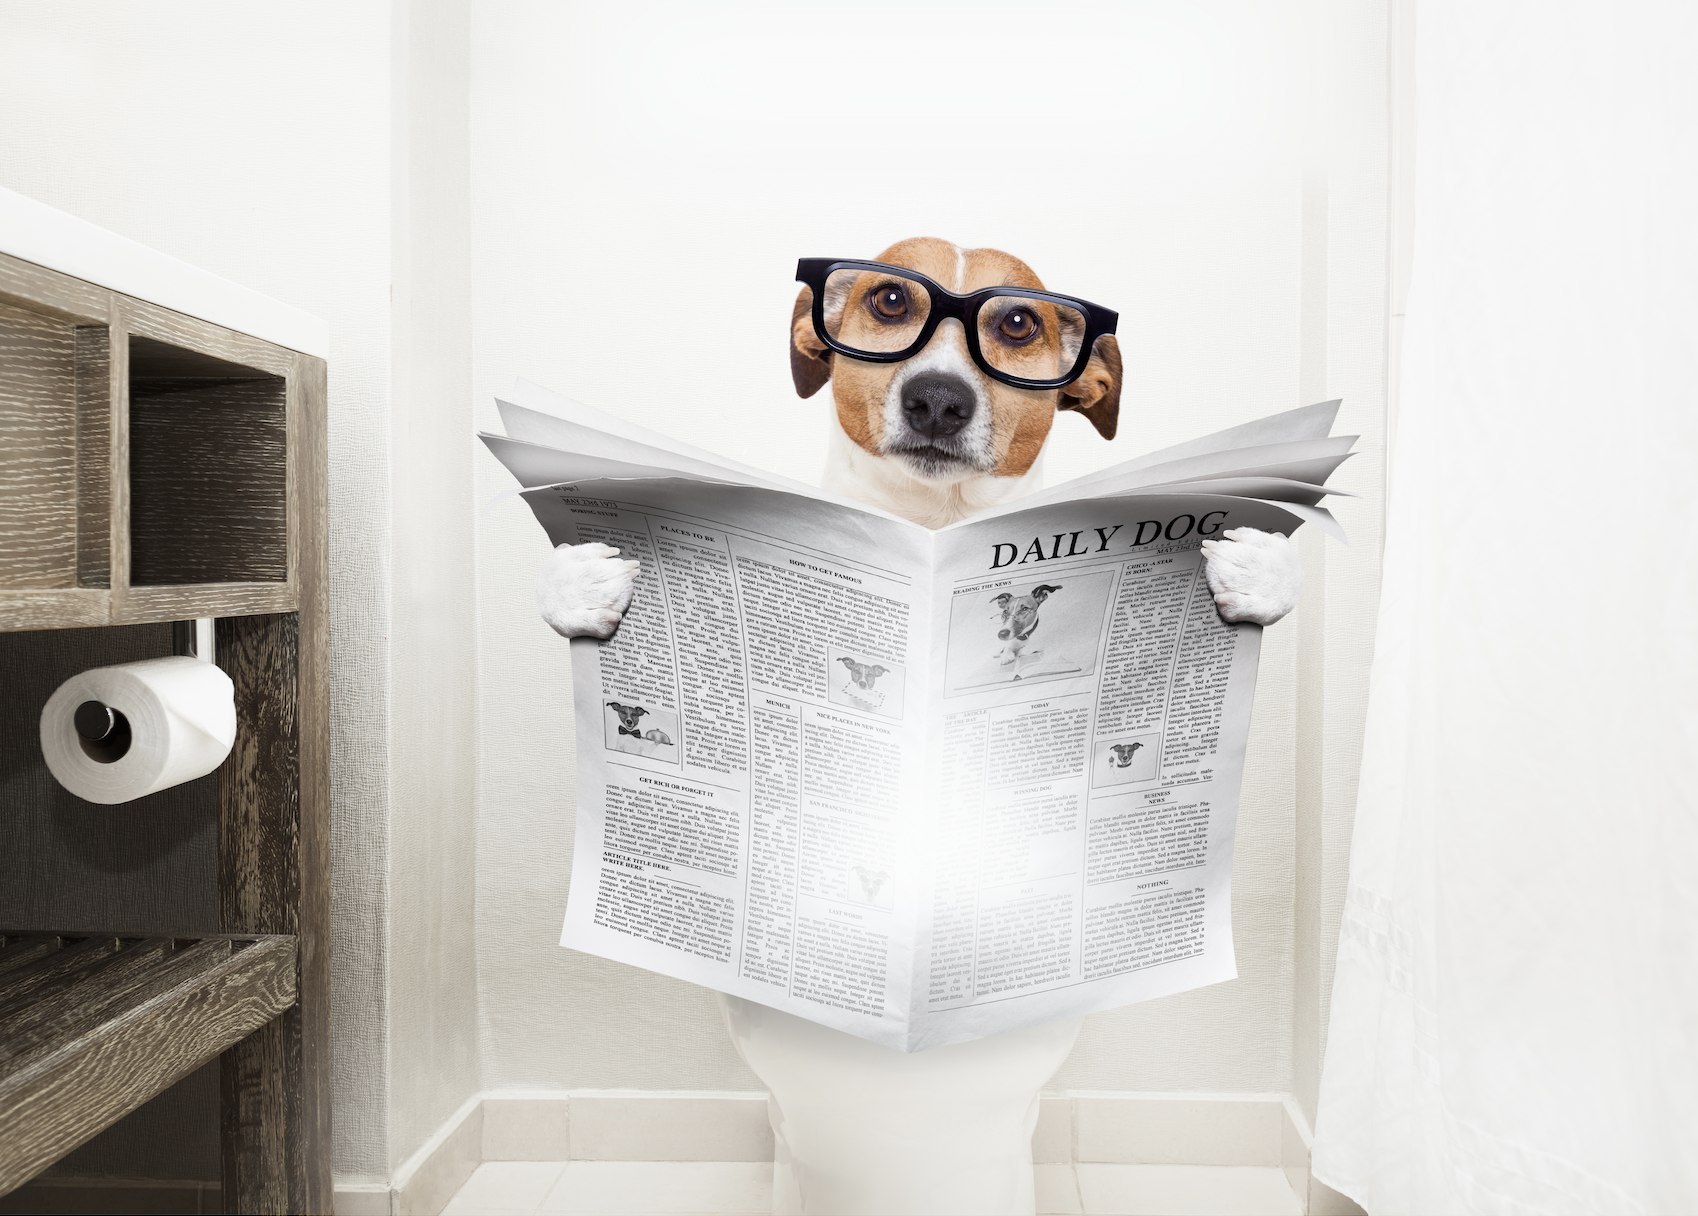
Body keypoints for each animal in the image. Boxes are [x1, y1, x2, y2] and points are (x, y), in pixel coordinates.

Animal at [536, 234, 1304, 635]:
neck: (935, 518)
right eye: (889, 298)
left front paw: (1257, 570)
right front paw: (579, 584)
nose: (938, 400)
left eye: (1018, 323)